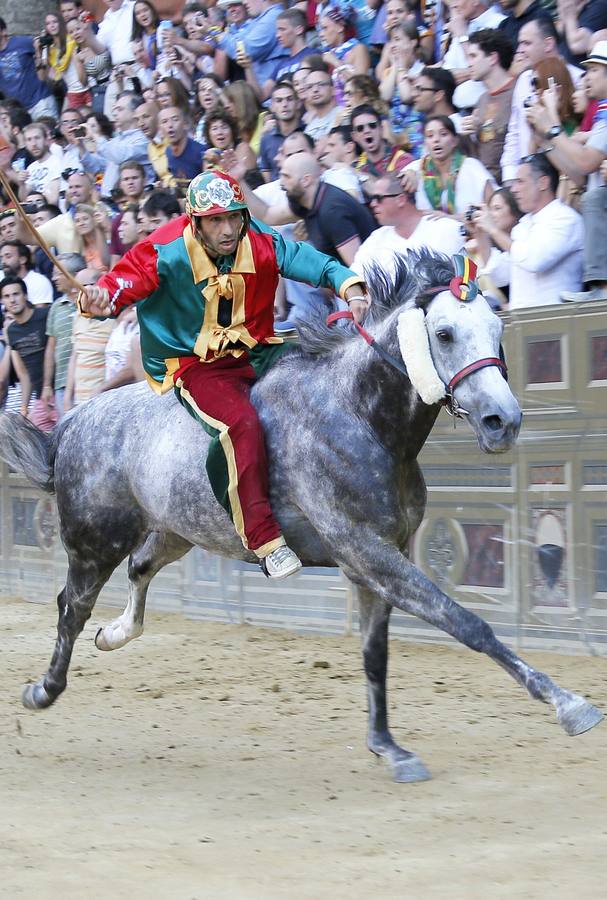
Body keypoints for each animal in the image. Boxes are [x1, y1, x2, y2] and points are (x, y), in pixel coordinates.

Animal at [0, 251, 600, 780]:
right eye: (446, 333)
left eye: (496, 327)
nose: (504, 420)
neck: (359, 418)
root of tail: (70, 423)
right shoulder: (368, 552)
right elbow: (467, 623)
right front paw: (570, 704)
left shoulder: (378, 558)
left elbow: (375, 653)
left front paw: (388, 747)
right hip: (94, 539)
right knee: (71, 607)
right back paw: (43, 689)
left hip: (177, 530)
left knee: (138, 570)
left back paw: (115, 634)